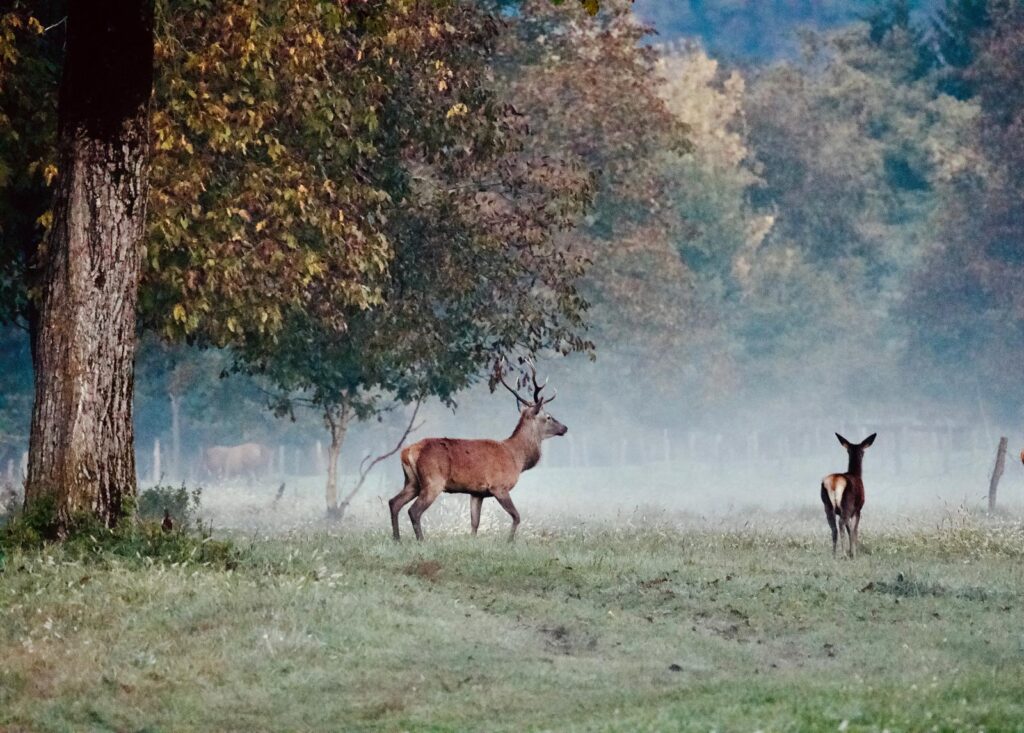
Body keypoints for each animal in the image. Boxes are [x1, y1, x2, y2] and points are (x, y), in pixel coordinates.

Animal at [388, 362, 566, 542]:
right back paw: (421, 540)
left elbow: (475, 522)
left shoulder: (476, 492)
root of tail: (407, 452)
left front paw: (472, 541)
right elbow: (516, 516)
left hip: (412, 481)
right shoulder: (499, 486)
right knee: (413, 510)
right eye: (548, 416)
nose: (565, 427)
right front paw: (509, 541)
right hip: (433, 481)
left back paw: (397, 539)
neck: (517, 458)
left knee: (394, 502)